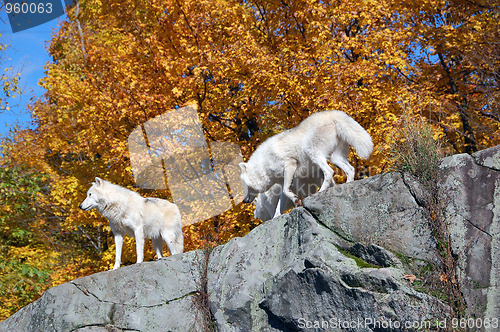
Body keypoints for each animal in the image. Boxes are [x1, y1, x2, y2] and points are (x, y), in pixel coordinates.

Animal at [240, 111, 374, 209]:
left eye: (245, 186)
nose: (244, 201)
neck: (263, 165)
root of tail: (334, 114)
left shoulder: (290, 165)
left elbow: (285, 191)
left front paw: (297, 200)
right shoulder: (285, 180)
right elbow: (280, 203)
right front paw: (293, 203)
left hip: (314, 153)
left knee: (329, 172)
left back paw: (320, 192)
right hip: (335, 158)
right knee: (350, 169)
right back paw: (348, 184)